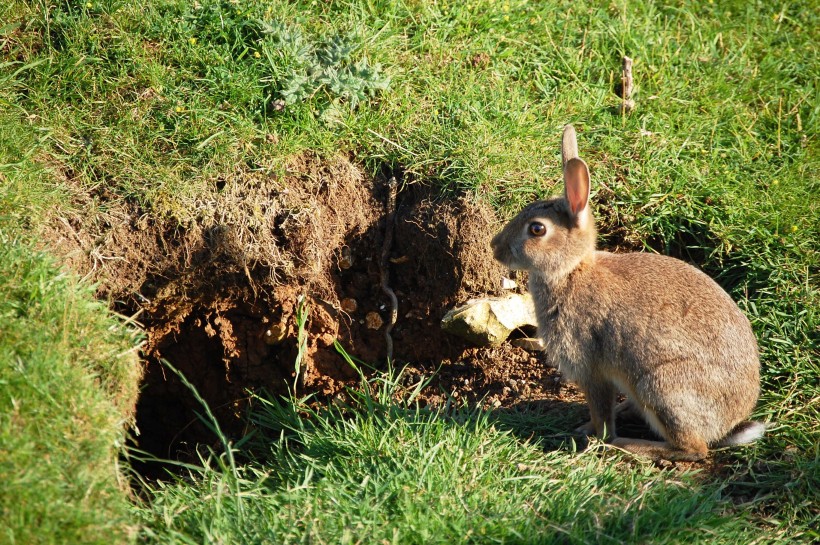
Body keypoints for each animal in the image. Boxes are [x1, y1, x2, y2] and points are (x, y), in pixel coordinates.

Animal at [490, 124, 764, 460]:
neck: (571, 271)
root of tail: (729, 424)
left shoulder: (590, 368)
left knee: (693, 449)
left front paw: (595, 436)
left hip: (661, 387)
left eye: (537, 229)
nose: (495, 247)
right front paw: (585, 429)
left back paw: (626, 444)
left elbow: (600, 412)